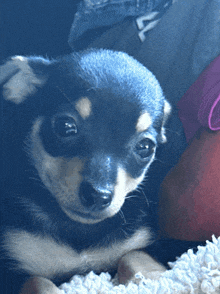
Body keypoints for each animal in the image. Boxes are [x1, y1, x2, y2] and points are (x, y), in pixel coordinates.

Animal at [0, 49, 169, 292]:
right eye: (65, 126)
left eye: (145, 147)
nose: (98, 196)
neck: (80, 230)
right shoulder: (11, 265)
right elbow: (37, 281)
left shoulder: (147, 243)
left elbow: (135, 255)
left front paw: (154, 280)